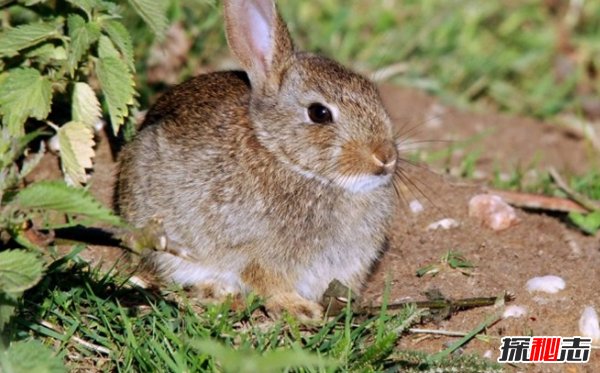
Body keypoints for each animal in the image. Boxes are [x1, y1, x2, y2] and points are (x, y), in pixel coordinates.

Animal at [116, 0, 398, 320]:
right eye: (319, 113)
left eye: (373, 93)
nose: (385, 157)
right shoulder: (257, 253)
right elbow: (267, 281)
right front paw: (298, 309)